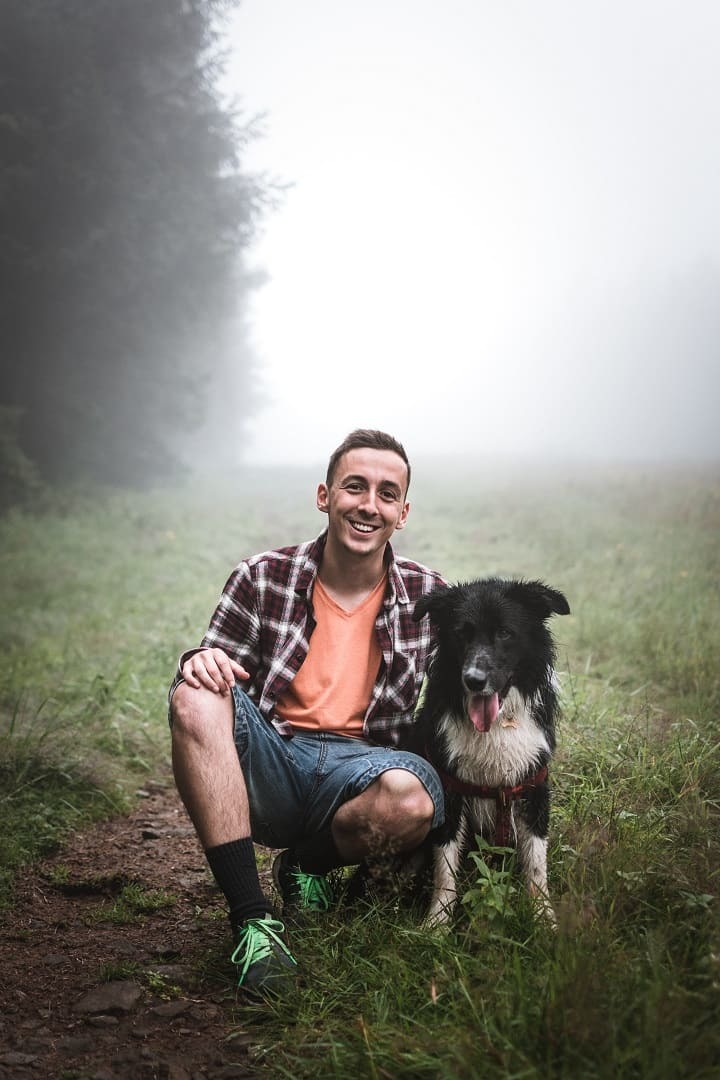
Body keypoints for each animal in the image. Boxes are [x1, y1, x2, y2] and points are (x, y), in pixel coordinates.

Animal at [408, 578, 569, 924]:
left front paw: (544, 919)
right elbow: (445, 870)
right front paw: (436, 924)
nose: (474, 680)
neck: (497, 724)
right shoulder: (449, 788)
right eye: (461, 633)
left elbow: (536, 866)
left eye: (505, 633)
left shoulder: (533, 786)